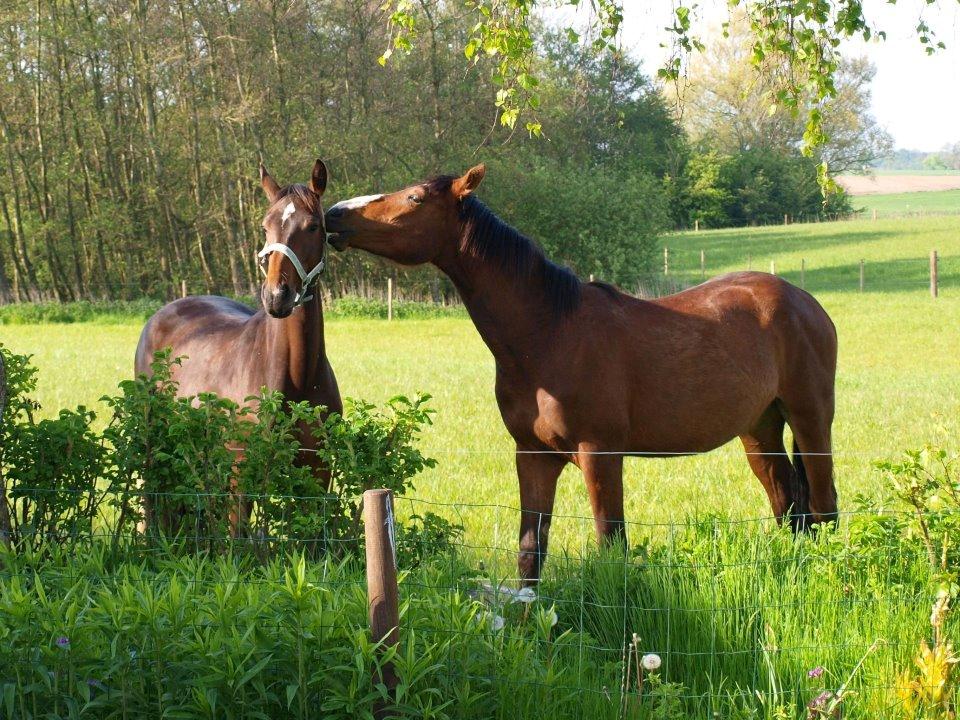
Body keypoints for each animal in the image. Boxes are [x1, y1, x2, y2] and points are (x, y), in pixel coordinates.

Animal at [135, 158, 344, 528]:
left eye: (313, 226)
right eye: (265, 226)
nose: (277, 295)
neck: (297, 373)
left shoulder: (317, 471)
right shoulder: (242, 470)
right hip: (154, 442)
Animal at [328, 165, 840, 584]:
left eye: (414, 198)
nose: (334, 215)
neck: (549, 334)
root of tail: (803, 301)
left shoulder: (600, 455)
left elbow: (612, 545)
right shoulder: (533, 456)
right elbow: (530, 553)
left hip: (811, 420)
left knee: (823, 504)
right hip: (760, 429)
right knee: (789, 506)